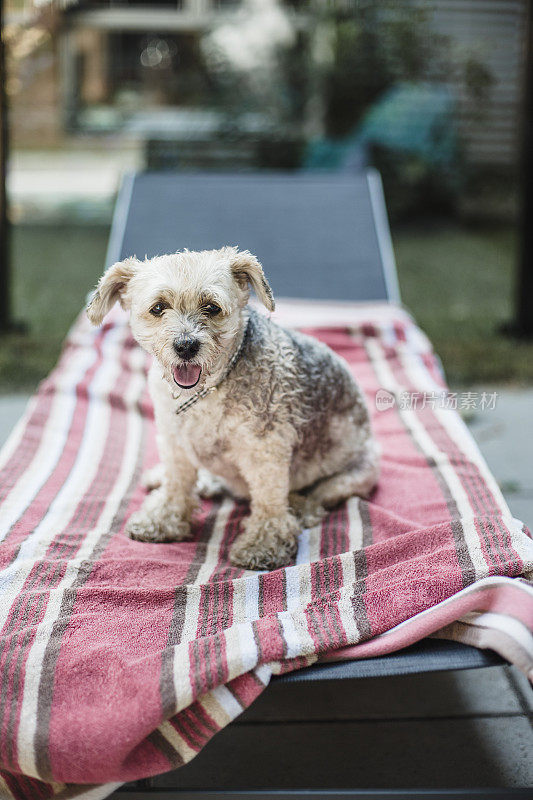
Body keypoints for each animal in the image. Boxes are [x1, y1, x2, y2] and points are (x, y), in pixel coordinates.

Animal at [86, 245, 378, 568]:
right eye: (159, 308)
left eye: (212, 307)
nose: (185, 346)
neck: (206, 393)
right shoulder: (174, 440)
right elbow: (177, 483)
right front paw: (164, 519)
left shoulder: (265, 451)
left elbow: (268, 502)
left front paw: (264, 544)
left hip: (354, 475)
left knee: (314, 498)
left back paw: (301, 508)